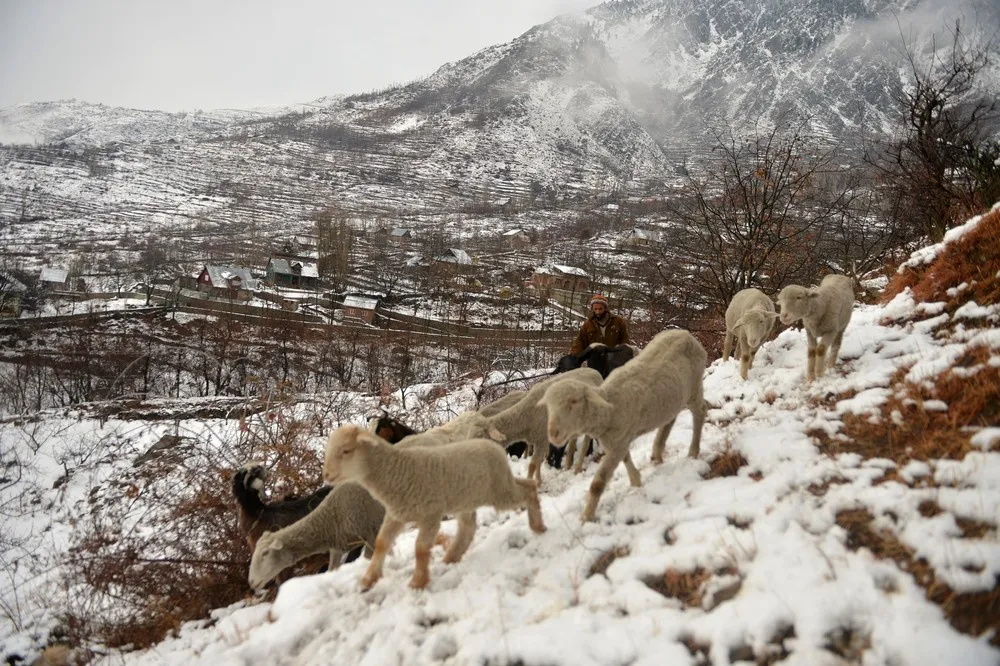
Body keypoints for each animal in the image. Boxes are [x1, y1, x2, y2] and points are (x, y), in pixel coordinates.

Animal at [323, 424, 545, 590]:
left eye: (346, 451)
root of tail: (494, 447)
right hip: (476, 495)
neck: (395, 471)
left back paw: (538, 526)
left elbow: (421, 548)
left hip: (499, 491)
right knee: (470, 527)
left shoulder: (431, 514)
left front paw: (418, 582)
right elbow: (381, 543)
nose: (326, 475)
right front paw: (368, 579)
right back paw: (451, 557)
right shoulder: (396, 515)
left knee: (526, 492)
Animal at [537, 329, 707, 523]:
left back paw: (693, 452)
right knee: (669, 420)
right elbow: (626, 459)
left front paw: (586, 517)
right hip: (673, 397)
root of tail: (685, 333)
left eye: (574, 402)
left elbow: (597, 484)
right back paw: (657, 453)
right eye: (549, 406)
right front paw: (636, 481)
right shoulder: (618, 441)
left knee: (700, 413)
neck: (609, 408)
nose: (553, 434)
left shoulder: (617, 443)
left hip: (694, 387)